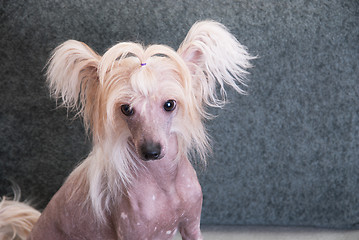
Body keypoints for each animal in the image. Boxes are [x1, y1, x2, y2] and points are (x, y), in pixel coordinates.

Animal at [0, 21, 255, 240]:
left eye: (169, 104)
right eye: (126, 109)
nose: (151, 151)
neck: (164, 183)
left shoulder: (191, 225)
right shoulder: (133, 232)